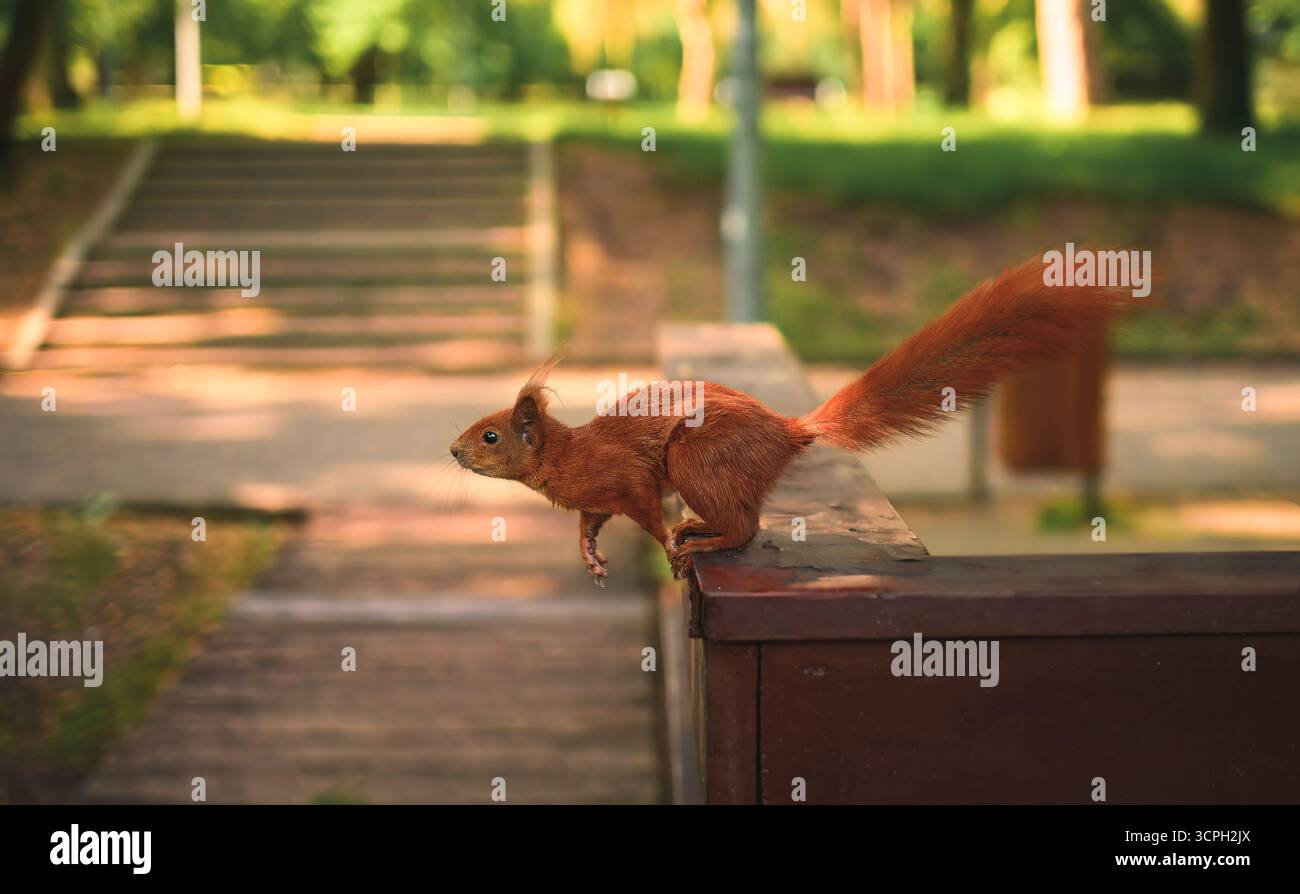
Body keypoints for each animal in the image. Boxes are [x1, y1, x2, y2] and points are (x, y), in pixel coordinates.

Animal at [450, 257, 1133, 584]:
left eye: (490, 435)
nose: (453, 452)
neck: (564, 457)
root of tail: (787, 433)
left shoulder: (628, 480)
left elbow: (645, 512)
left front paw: (665, 546)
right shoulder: (595, 498)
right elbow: (590, 525)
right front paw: (590, 557)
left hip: (697, 459)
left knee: (747, 527)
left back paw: (701, 538)